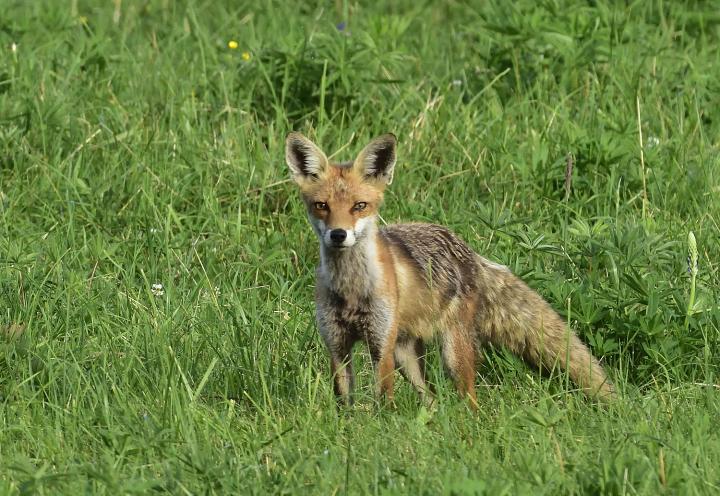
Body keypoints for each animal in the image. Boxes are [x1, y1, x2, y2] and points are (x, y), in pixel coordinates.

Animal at [284, 131, 616, 406]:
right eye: (322, 206)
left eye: (359, 206)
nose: (339, 235)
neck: (350, 290)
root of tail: (466, 248)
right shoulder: (337, 345)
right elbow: (344, 402)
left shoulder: (381, 345)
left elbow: (384, 400)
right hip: (407, 356)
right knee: (430, 398)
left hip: (451, 355)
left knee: (469, 399)